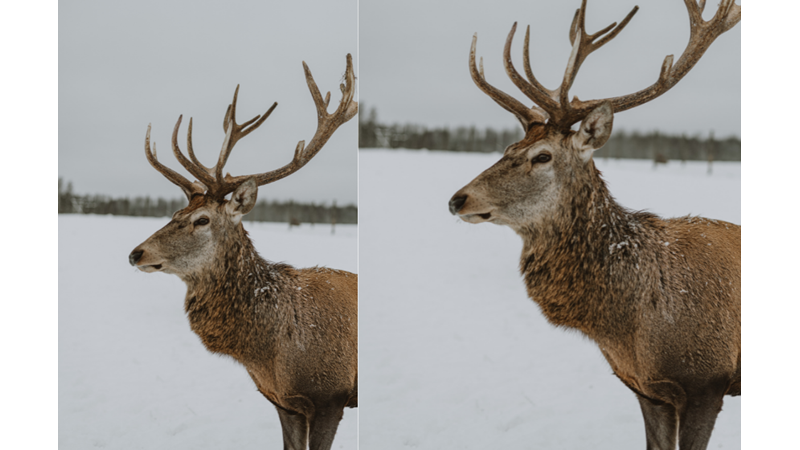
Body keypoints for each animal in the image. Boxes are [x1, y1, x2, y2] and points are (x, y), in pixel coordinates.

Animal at [127, 54, 356, 450]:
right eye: (176, 213)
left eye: (201, 219)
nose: (137, 253)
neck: (274, 353)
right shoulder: (282, 402)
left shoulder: (332, 395)